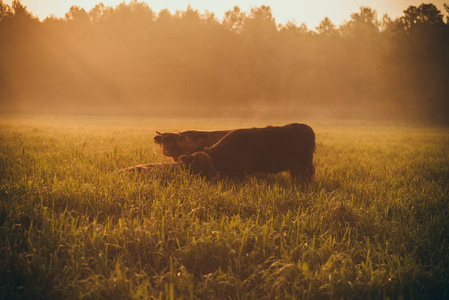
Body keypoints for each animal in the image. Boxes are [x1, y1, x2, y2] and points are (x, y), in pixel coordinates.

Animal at [178, 123, 316, 180]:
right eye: (195, 167)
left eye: (205, 166)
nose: (209, 179)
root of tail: (307, 128)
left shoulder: (241, 172)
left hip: (301, 166)